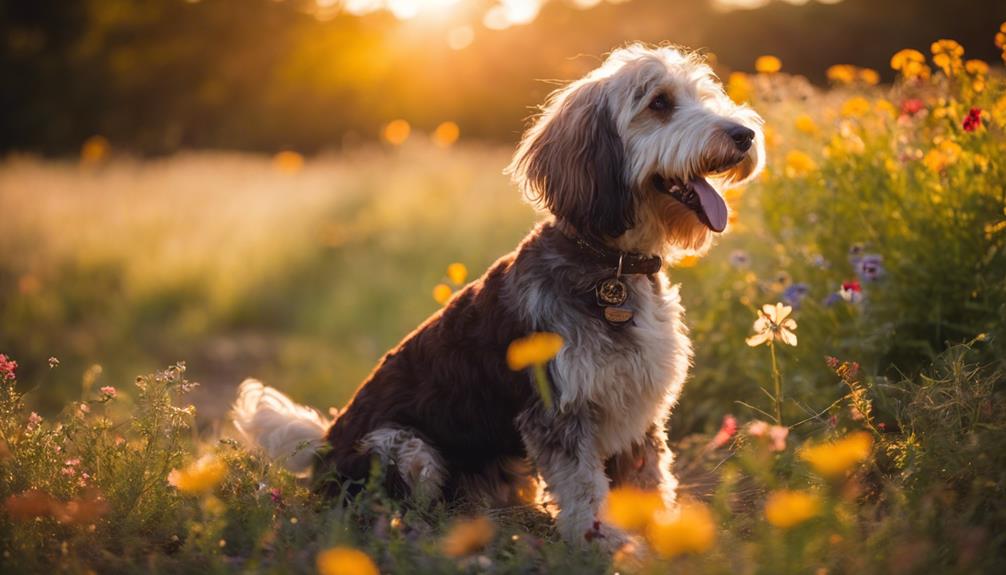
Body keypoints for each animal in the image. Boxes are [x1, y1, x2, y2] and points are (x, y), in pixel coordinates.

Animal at [233, 43, 760, 546]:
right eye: (660, 103)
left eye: (703, 94)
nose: (745, 135)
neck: (611, 266)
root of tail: (321, 448)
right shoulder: (560, 409)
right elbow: (584, 486)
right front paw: (602, 538)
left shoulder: (638, 401)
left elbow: (648, 478)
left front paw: (661, 531)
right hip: (400, 445)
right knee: (395, 508)